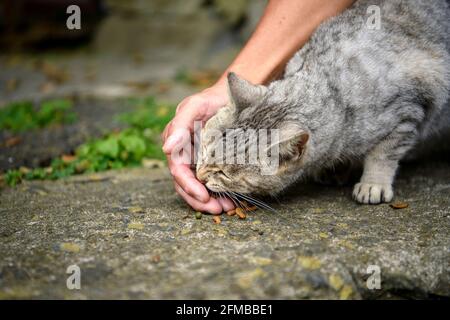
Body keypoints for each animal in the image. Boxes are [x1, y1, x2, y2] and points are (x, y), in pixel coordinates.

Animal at [196, 0, 450, 205]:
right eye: (206, 151)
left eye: (223, 173)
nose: (199, 176)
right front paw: (337, 169)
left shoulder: (409, 109)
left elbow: (383, 153)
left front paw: (373, 183)